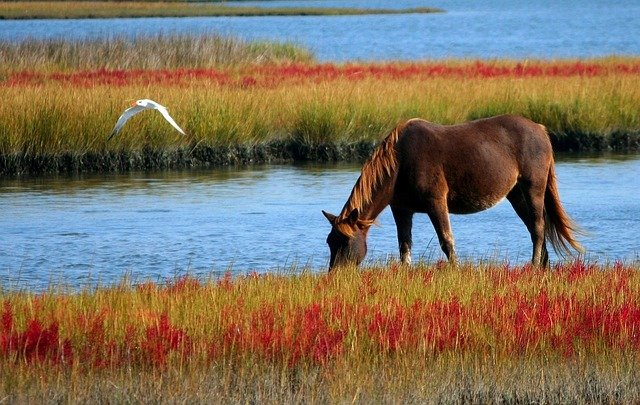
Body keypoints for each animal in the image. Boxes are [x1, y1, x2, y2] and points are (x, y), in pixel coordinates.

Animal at [322, 114, 583, 271]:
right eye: (329, 241)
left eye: (345, 241)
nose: (335, 275)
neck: (400, 162)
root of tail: (540, 129)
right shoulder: (402, 209)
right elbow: (404, 245)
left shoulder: (436, 202)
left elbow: (446, 240)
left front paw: (455, 270)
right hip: (516, 195)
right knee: (534, 228)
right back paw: (542, 266)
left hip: (533, 188)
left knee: (538, 227)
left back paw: (534, 265)